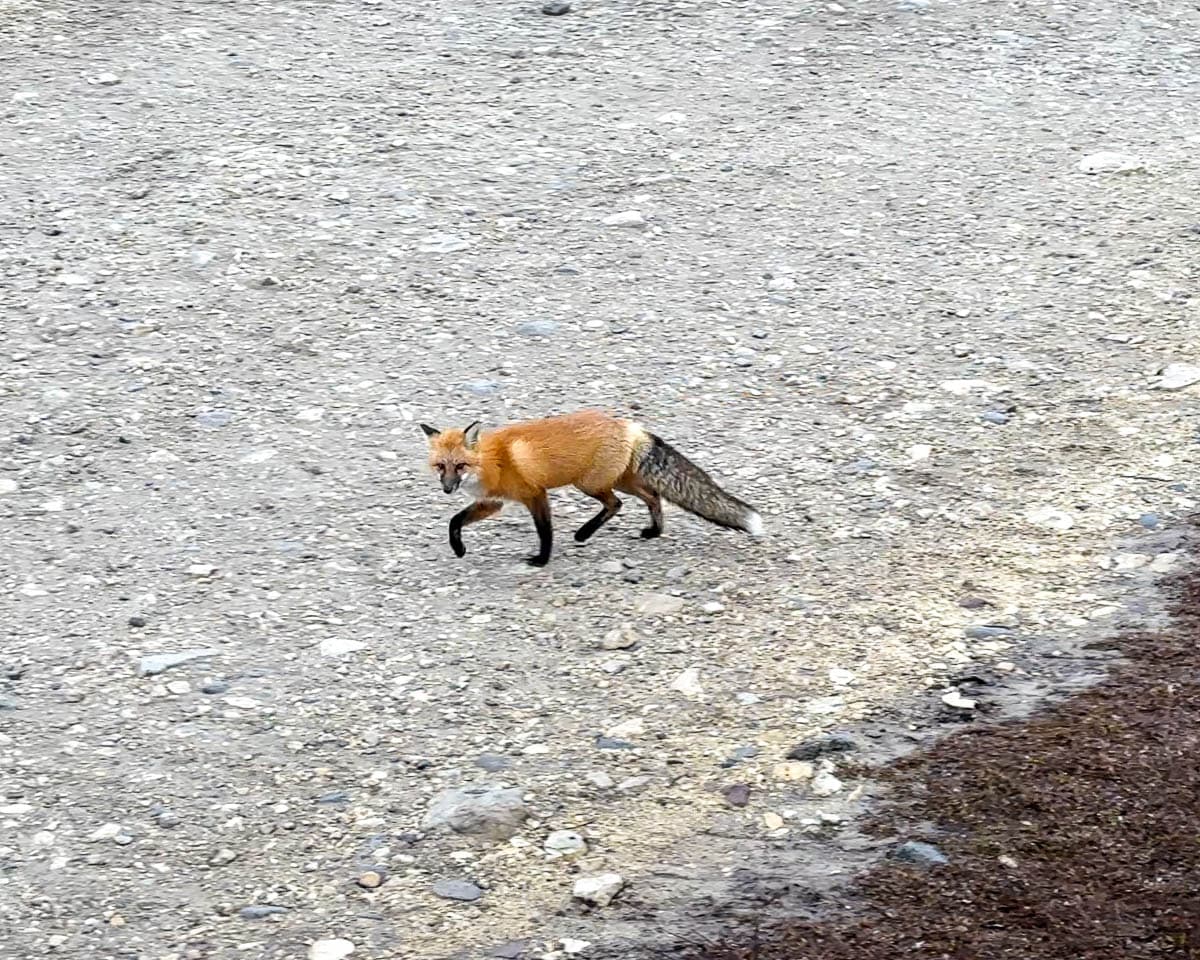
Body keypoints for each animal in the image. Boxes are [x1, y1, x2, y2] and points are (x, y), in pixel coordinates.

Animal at [420, 408, 758, 566]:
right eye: (441, 466)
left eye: (460, 466)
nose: (447, 489)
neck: (495, 460)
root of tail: (630, 425)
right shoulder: (494, 502)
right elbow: (455, 521)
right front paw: (459, 548)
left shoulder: (534, 494)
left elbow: (545, 530)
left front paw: (542, 560)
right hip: (622, 480)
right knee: (653, 496)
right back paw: (653, 531)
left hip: (591, 483)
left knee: (616, 504)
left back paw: (584, 533)